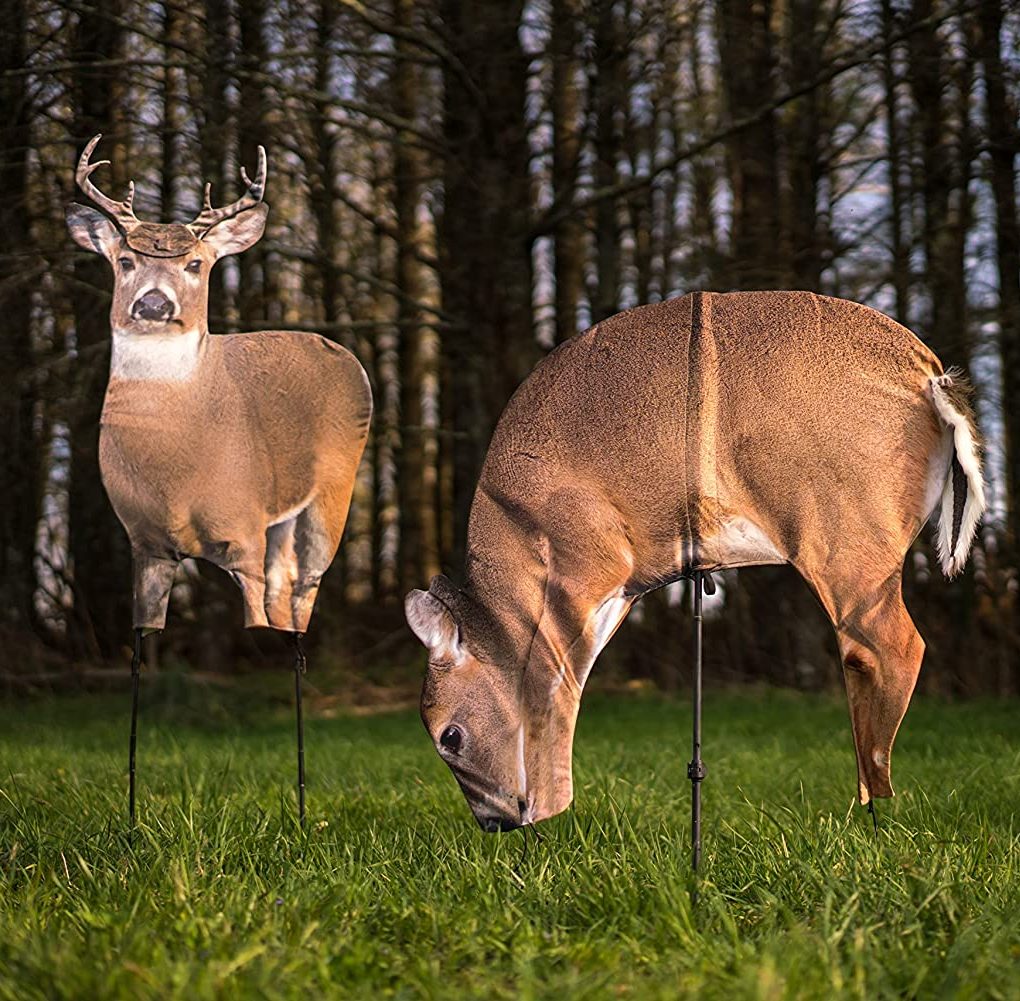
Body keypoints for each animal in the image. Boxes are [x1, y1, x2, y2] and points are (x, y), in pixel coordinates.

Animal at [66, 135, 373, 826]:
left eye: (197, 264)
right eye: (124, 260)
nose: (154, 304)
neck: (177, 467)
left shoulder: (243, 530)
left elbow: (258, 621)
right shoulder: (144, 543)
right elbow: (138, 652)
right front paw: (130, 814)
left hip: (332, 494)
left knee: (303, 598)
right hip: (281, 521)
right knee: (289, 595)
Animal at [405, 291, 985, 836]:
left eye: (449, 737)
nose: (494, 822)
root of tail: (932, 377)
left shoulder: (592, 554)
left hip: (844, 527)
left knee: (889, 645)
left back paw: (871, 799)